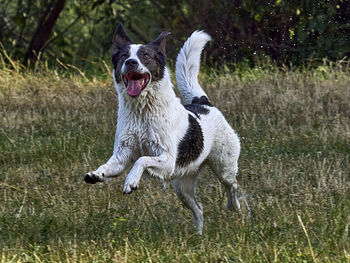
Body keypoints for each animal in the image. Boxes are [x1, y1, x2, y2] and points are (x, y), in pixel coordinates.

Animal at [85, 23, 241, 235]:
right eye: (124, 56)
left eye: (145, 55)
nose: (131, 62)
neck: (142, 112)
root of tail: (203, 103)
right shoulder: (122, 155)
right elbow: (108, 167)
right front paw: (96, 174)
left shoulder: (167, 160)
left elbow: (142, 160)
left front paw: (131, 182)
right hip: (182, 187)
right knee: (199, 209)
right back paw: (199, 236)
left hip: (224, 166)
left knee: (232, 185)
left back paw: (234, 206)